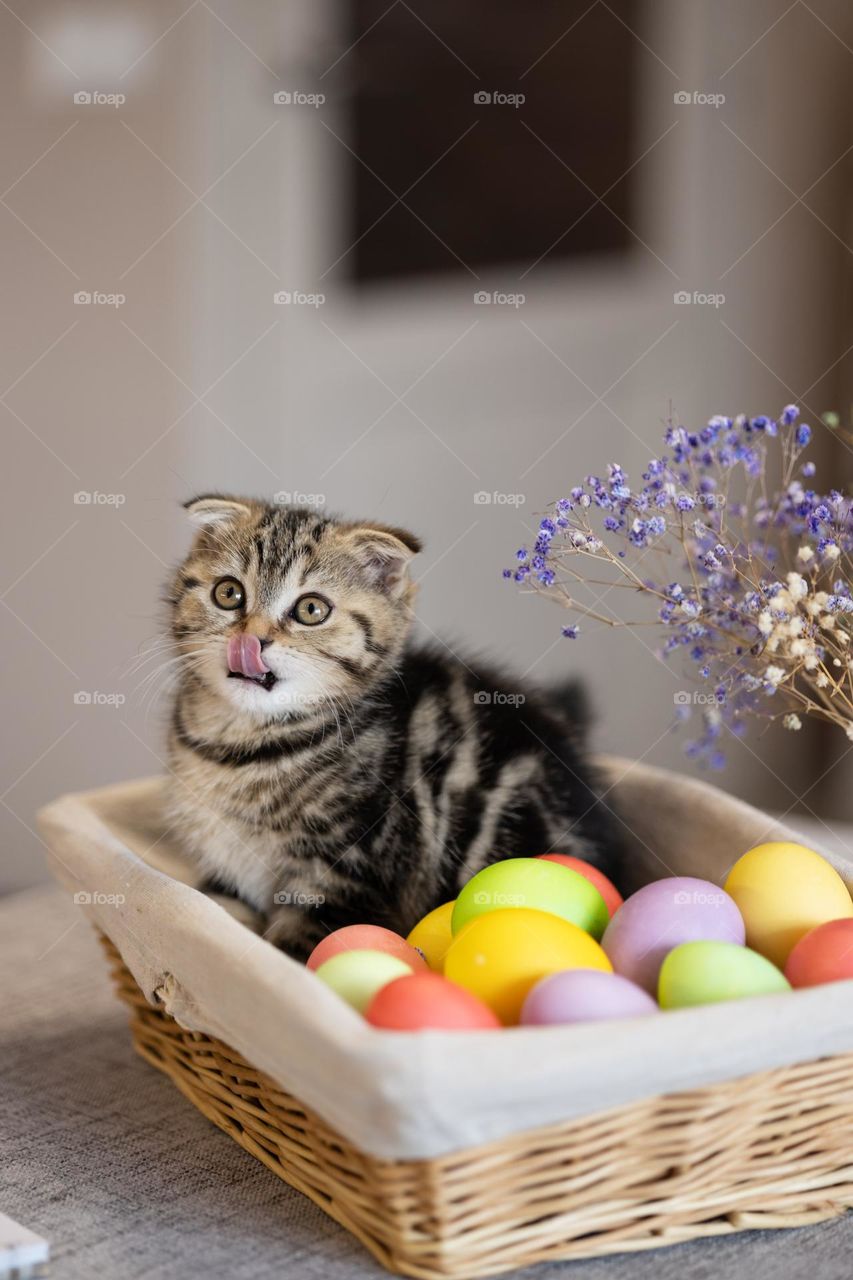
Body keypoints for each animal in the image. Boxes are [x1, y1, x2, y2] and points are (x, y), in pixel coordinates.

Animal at [163, 496, 617, 962]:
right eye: (228, 593)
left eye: (311, 609)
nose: (252, 639)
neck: (240, 743)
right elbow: (217, 908)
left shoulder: (347, 875)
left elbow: (297, 948)